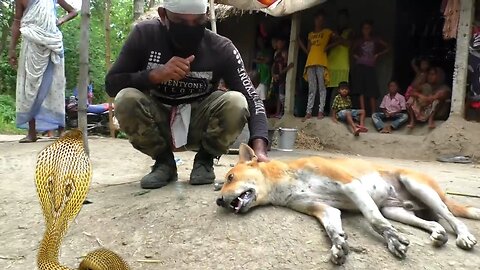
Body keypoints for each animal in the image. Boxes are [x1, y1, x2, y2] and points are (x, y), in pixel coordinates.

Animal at [216, 144, 478, 264]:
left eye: (230, 177)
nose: (218, 200)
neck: (284, 181)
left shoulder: (351, 185)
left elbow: (374, 219)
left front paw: (393, 240)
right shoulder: (323, 209)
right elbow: (333, 229)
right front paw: (338, 244)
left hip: (419, 187)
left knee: (452, 218)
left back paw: (464, 236)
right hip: (394, 210)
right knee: (434, 223)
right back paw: (437, 233)